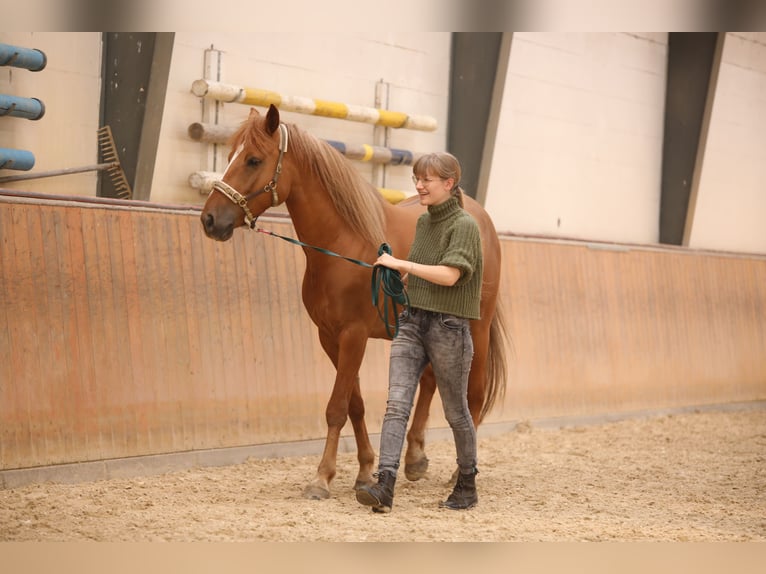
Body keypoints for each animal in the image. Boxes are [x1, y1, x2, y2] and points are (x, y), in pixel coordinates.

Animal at [201, 106, 508, 502]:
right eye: (229, 156)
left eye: (253, 159)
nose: (209, 219)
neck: (343, 243)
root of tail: (477, 214)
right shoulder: (329, 337)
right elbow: (354, 405)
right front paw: (363, 472)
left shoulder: (353, 335)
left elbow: (335, 407)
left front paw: (321, 478)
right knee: (429, 381)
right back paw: (415, 458)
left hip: (476, 329)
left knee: (472, 395)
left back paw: (459, 471)